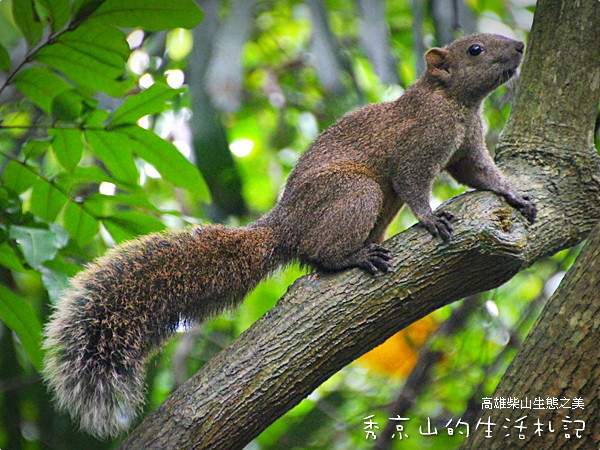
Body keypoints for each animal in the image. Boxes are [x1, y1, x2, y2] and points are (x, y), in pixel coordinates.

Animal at [43, 34, 540, 440]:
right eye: (474, 49)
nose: (520, 46)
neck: (456, 104)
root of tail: (284, 227)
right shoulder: (416, 145)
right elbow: (415, 183)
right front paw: (432, 217)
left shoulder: (468, 144)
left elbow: (478, 173)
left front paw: (513, 195)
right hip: (354, 194)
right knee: (321, 253)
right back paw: (353, 257)